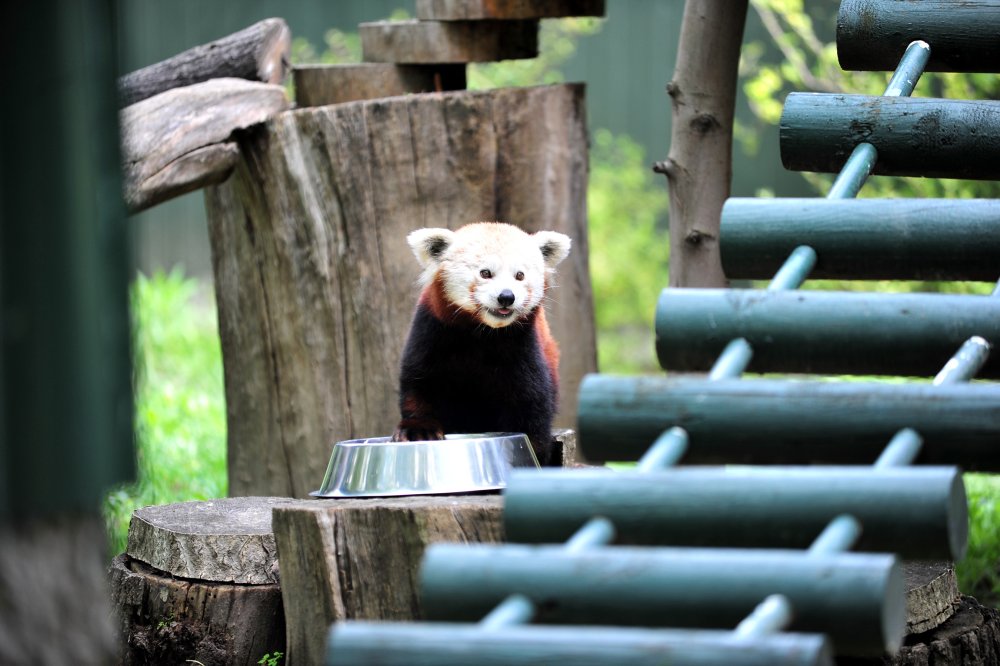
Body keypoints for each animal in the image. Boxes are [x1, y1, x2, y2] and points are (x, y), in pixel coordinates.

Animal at [394, 220, 576, 464]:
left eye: (520, 275)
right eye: (486, 273)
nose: (506, 296)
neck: (483, 332)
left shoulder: (523, 348)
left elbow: (530, 403)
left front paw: (534, 452)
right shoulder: (431, 332)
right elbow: (419, 382)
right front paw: (419, 429)